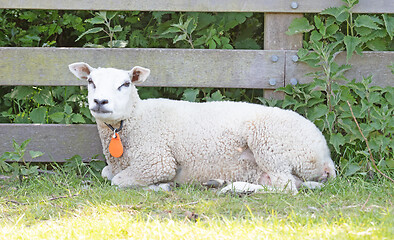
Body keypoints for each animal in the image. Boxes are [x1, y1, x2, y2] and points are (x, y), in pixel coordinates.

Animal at [67, 62, 336, 193]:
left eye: (125, 84)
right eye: (90, 81)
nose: (100, 102)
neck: (138, 119)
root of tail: (326, 155)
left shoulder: (157, 161)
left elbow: (118, 180)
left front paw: (163, 186)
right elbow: (107, 174)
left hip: (271, 145)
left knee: (286, 188)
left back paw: (234, 189)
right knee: (292, 184)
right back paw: (220, 183)